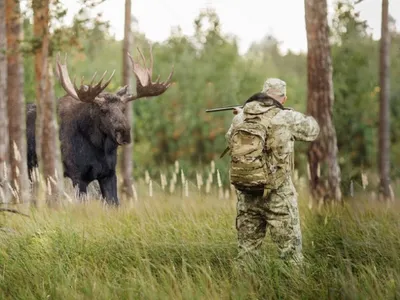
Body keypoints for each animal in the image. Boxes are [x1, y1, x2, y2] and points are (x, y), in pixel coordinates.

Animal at [26, 47, 173, 205]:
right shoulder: (77, 175)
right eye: (103, 110)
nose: (124, 132)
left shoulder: (109, 174)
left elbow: (114, 203)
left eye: (123, 109)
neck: (98, 148)